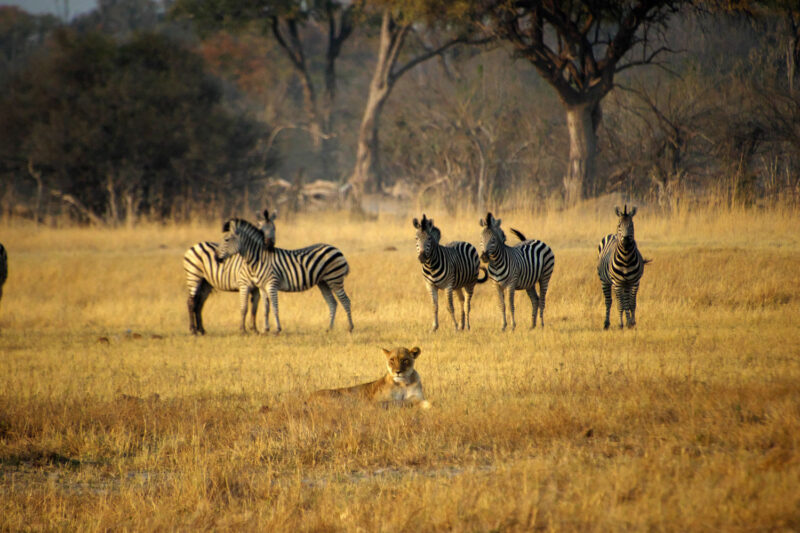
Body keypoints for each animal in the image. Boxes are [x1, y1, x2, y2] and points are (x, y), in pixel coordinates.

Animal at [214, 213, 352, 330]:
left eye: (226, 240)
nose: (216, 258)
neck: (259, 259)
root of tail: (336, 248)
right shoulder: (262, 287)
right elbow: (265, 309)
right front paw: (266, 330)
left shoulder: (272, 285)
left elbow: (275, 308)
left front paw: (277, 330)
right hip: (323, 282)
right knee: (332, 303)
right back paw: (329, 329)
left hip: (335, 279)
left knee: (345, 301)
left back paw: (350, 328)